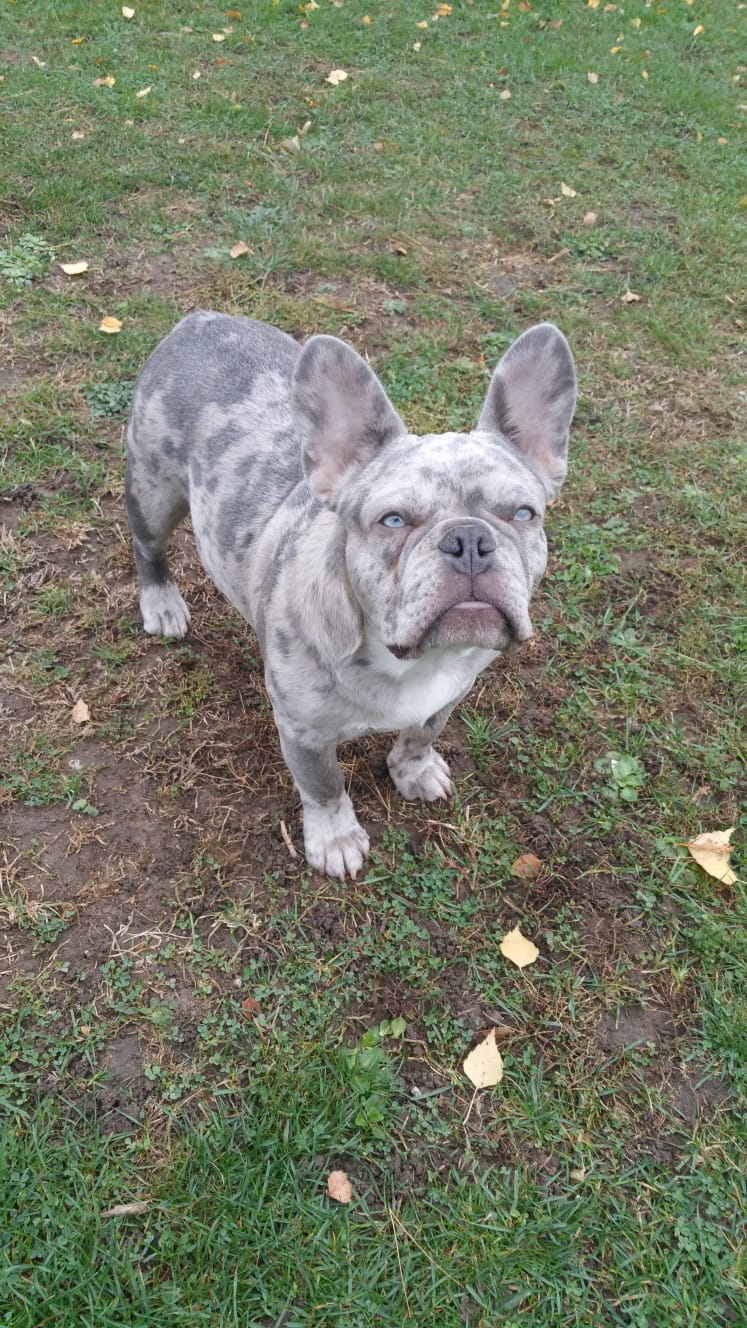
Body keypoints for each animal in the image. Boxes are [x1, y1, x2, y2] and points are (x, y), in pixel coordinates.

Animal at [125, 312, 576, 877]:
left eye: (523, 513)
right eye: (393, 520)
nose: (469, 540)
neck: (410, 661)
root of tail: (200, 320)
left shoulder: (448, 694)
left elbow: (421, 734)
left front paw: (413, 771)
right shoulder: (304, 733)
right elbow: (324, 787)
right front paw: (335, 839)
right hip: (154, 489)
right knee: (148, 545)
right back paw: (161, 602)